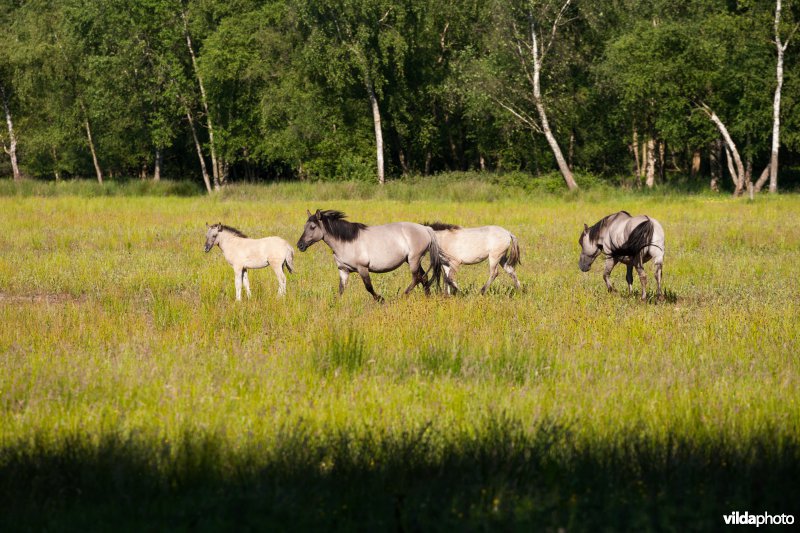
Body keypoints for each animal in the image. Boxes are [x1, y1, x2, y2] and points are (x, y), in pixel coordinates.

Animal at [296, 209, 444, 302]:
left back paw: (403, 295)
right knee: (423, 277)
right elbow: (341, 289)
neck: (346, 242)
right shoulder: (343, 270)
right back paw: (428, 296)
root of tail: (425, 229)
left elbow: (368, 287)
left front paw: (381, 300)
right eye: (305, 227)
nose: (300, 245)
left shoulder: (362, 268)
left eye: (313, 227)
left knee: (416, 277)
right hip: (411, 260)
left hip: (414, 259)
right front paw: (334, 304)